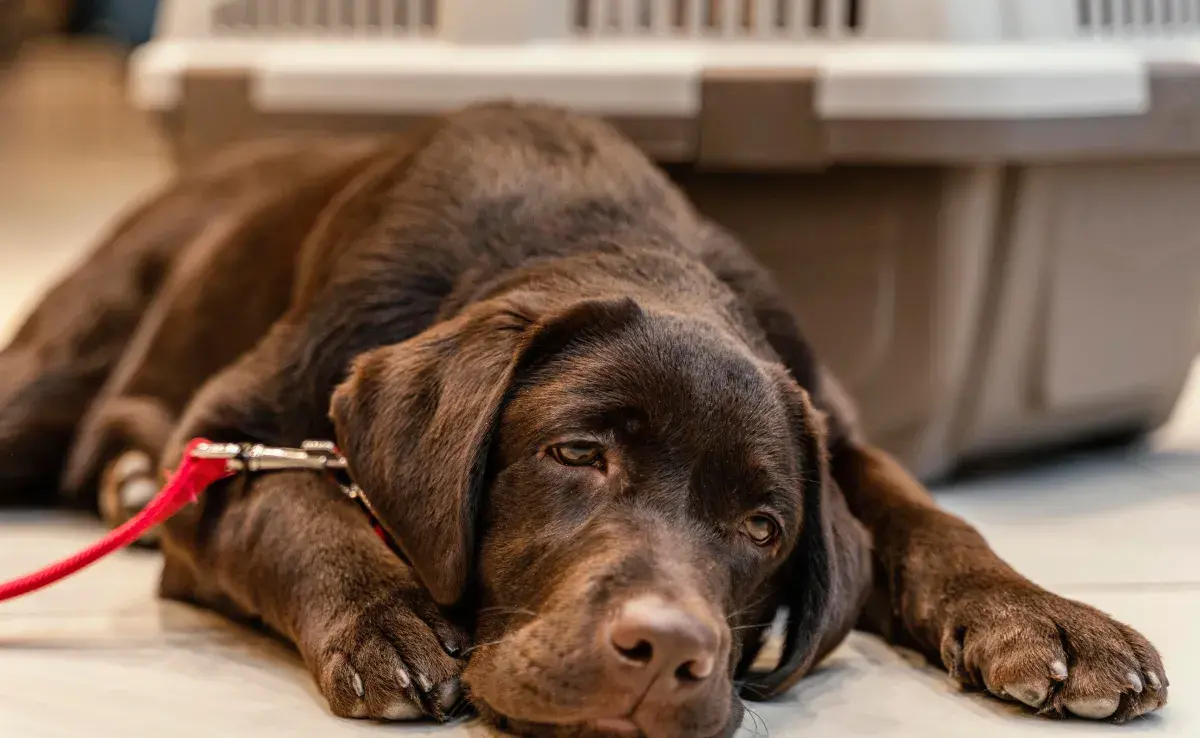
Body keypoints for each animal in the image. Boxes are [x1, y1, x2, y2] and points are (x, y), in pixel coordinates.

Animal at [0, 105, 1161, 738]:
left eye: (764, 528)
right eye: (575, 455)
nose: (666, 654)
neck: (599, 231)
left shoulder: (834, 428)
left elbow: (927, 520)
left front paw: (1046, 620)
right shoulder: (224, 440)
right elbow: (295, 509)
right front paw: (385, 618)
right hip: (60, 366)